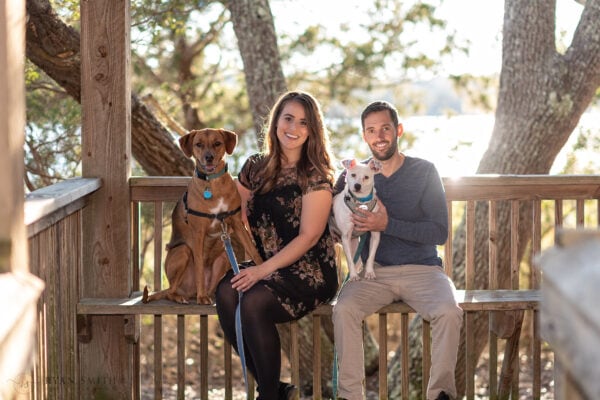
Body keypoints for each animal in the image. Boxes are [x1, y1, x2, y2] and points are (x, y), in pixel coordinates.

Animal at [143, 128, 262, 304]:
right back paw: (185, 296)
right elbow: (199, 265)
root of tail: (189, 291)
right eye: (198, 144)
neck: (212, 183)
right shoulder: (198, 232)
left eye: (217, 143)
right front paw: (202, 297)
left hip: (223, 257)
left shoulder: (237, 224)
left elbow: (253, 250)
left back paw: (208, 294)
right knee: (170, 290)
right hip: (183, 251)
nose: (209, 157)